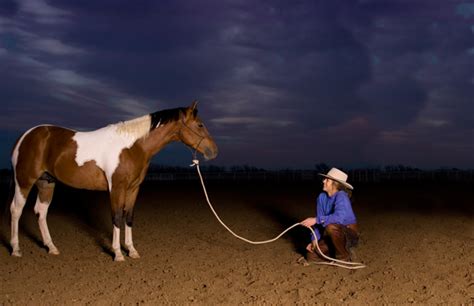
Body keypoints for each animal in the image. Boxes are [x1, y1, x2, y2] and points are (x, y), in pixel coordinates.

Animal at [10, 101, 218, 262]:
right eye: (200, 125)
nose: (214, 151)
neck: (132, 146)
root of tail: (25, 136)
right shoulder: (117, 188)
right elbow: (117, 216)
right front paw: (118, 253)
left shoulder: (133, 188)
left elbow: (129, 216)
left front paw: (132, 251)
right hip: (24, 181)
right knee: (16, 210)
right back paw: (16, 249)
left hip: (47, 183)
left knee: (41, 212)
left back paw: (51, 247)